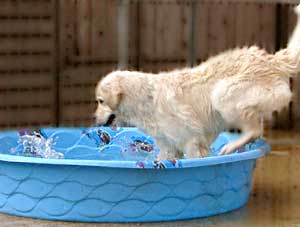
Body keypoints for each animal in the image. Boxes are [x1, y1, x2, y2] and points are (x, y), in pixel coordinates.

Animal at [95, 4, 300, 159]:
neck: (145, 99)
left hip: (223, 94)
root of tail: (273, 59)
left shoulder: (191, 141)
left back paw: (230, 147)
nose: (94, 120)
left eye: (100, 101)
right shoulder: (169, 147)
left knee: (255, 131)